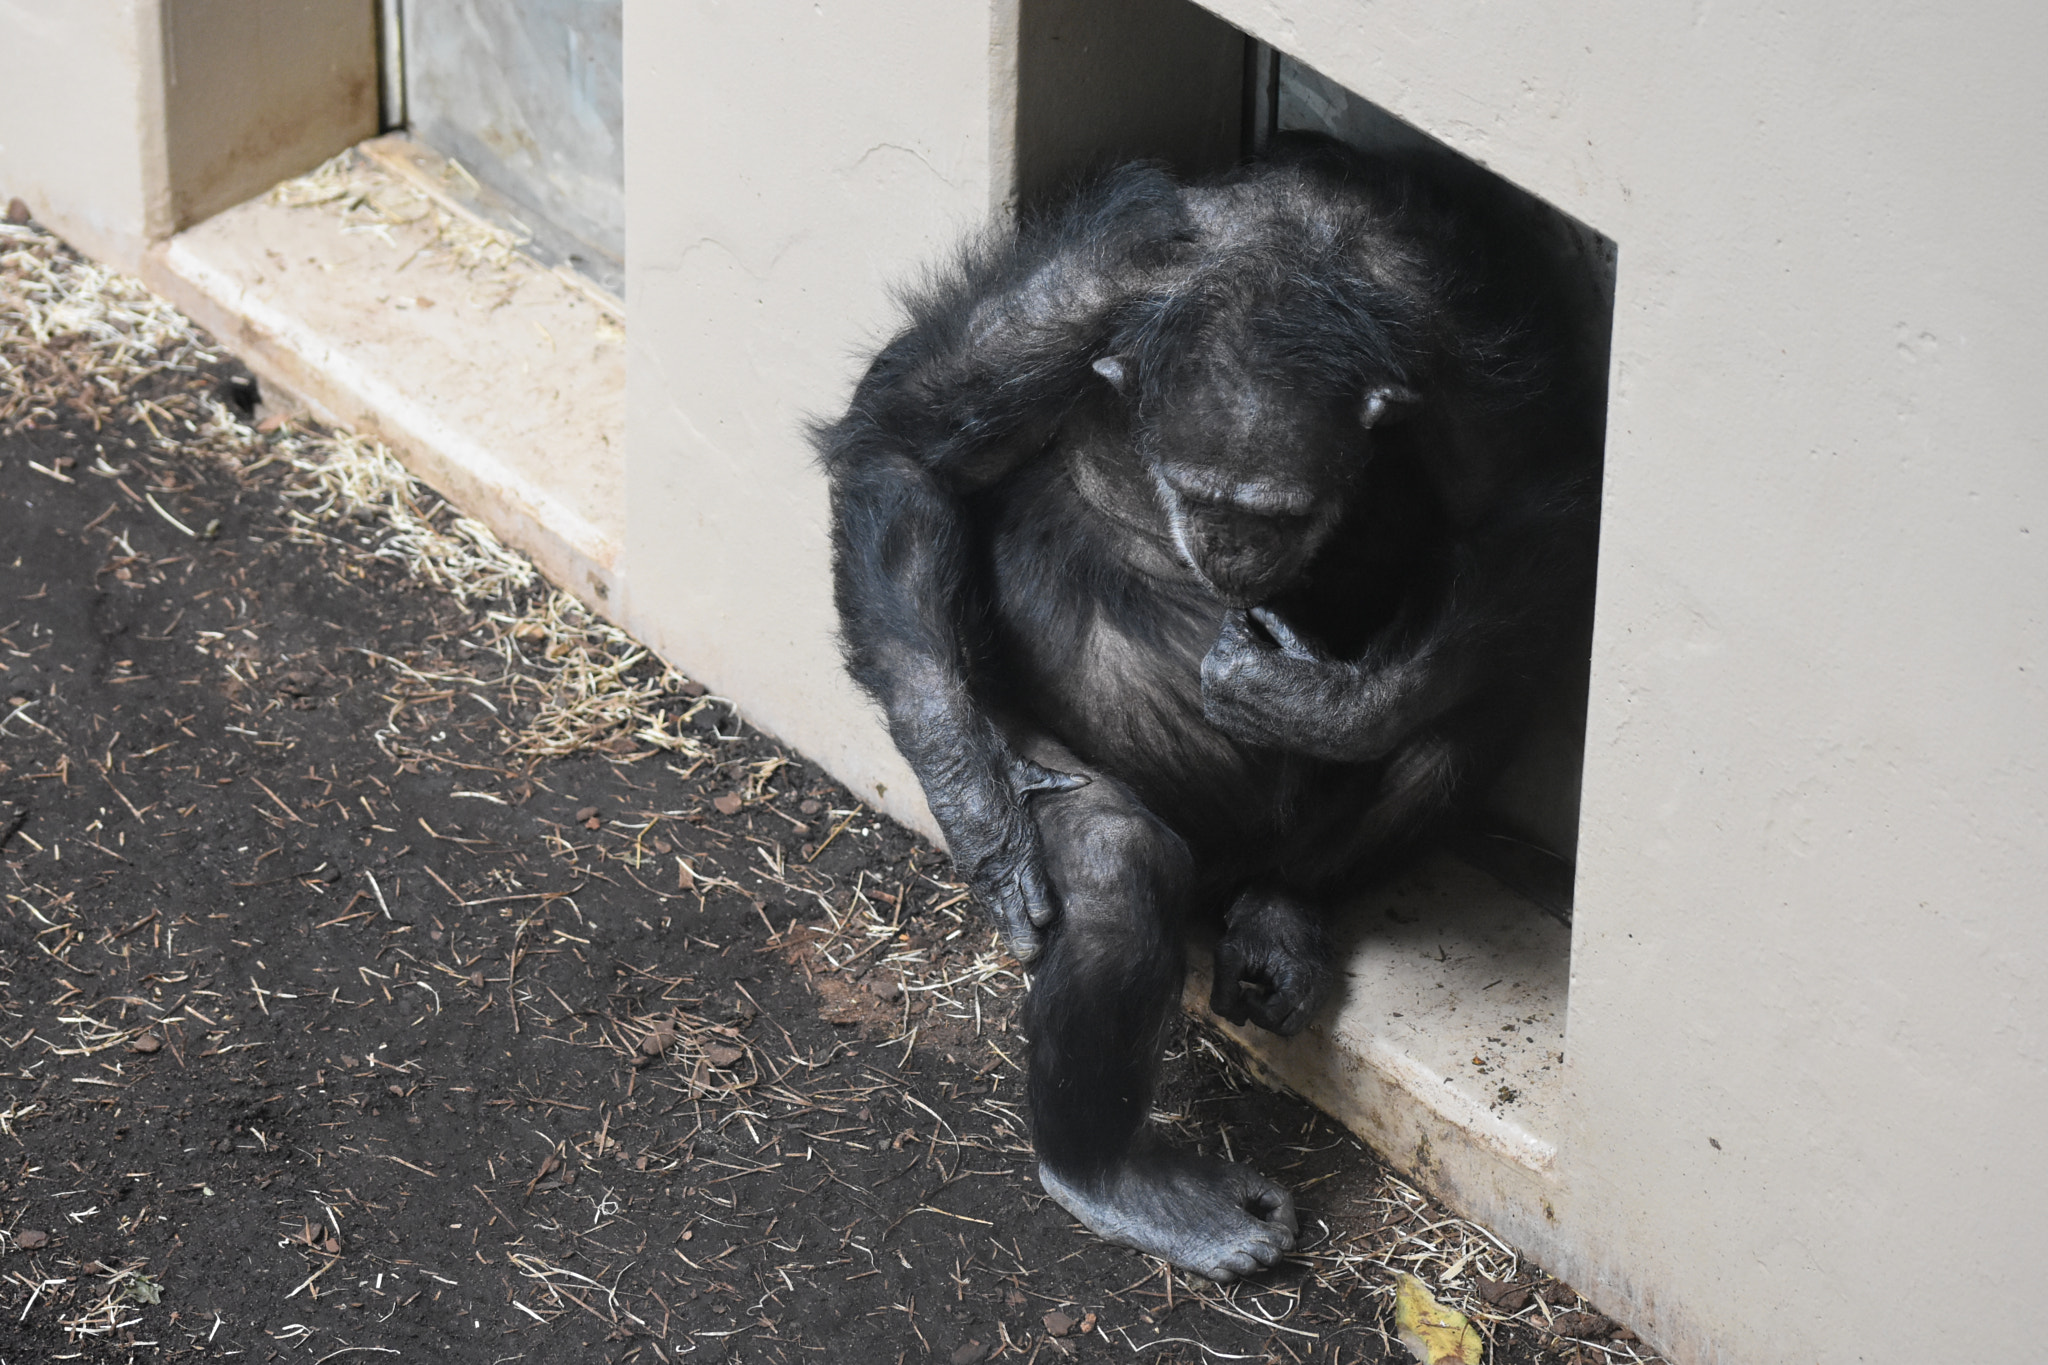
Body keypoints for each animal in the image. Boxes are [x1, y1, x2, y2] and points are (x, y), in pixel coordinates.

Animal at [816, 134, 1601, 1281]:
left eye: (1274, 511)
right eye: (1195, 496)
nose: (1231, 550)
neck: (1283, 266)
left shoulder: (1461, 333)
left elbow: (1536, 506)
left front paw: (1312, 702)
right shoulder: (1085, 285)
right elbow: (904, 437)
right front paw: (976, 804)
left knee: (1458, 726)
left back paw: (1282, 908)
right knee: (1117, 869)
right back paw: (1115, 1178)